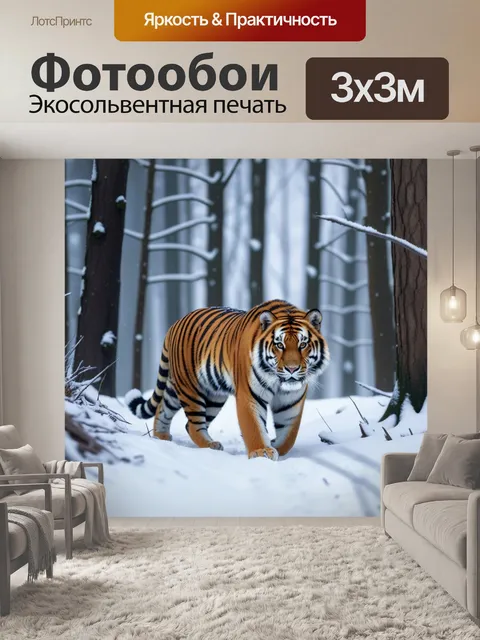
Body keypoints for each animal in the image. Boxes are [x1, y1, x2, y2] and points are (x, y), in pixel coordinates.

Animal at [125, 299, 330, 460]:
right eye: (279, 345)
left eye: (303, 344)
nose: (292, 369)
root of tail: (174, 324)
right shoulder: (249, 395)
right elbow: (253, 426)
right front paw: (262, 451)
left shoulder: (291, 401)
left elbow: (289, 434)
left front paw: (275, 446)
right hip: (190, 388)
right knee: (193, 424)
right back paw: (210, 445)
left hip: (208, 395)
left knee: (165, 409)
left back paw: (162, 437)